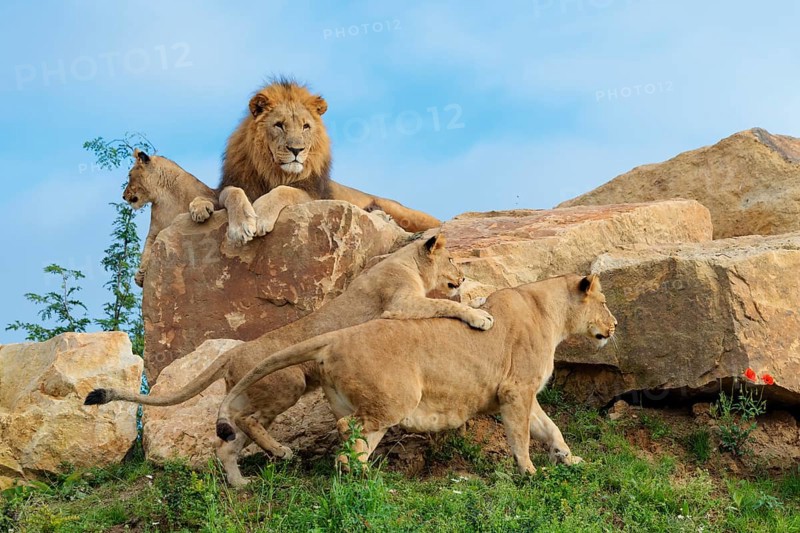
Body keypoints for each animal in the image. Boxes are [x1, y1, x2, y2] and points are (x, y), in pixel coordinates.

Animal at [85, 234, 494, 486]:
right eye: (452, 258)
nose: (462, 276)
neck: (405, 262)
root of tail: (233, 352)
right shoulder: (400, 304)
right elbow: (446, 305)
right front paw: (480, 316)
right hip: (289, 382)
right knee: (247, 422)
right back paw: (281, 451)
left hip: (253, 393)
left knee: (227, 441)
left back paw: (242, 483)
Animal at [123, 149, 216, 287]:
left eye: (129, 175)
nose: (123, 196)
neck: (164, 196)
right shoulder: (154, 232)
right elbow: (146, 250)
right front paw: (140, 275)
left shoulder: (214, 196)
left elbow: (204, 199)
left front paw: (200, 210)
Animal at [188, 78, 442, 245]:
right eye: (279, 125)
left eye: (305, 126)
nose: (296, 150)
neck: (273, 170)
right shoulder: (234, 182)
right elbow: (230, 193)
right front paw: (233, 222)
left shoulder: (312, 194)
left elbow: (283, 191)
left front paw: (261, 216)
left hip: (403, 210)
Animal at [215, 274, 617, 475]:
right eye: (604, 302)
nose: (614, 326)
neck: (550, 313)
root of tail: (335, 337)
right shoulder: (515, 391)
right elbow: (521, 436)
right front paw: (530, 472)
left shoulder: (524, 394)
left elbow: (551, 428)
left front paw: (570, 459)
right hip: (397, 399)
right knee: (347, 431)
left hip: (361, 403)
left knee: (353, 443)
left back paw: (360, 476)